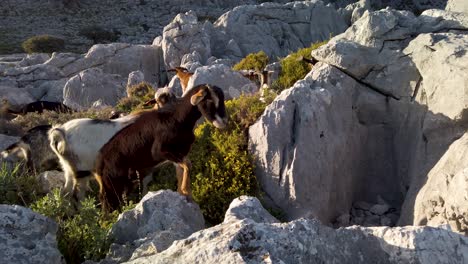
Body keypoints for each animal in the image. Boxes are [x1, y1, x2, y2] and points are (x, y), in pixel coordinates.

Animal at [93, 83, 227, 211]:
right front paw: (184, 190)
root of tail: (99, 162)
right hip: (112, 184)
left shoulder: (180, 152)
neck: (177, 117)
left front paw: (185, 194)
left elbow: (182, 169)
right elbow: (187, 165)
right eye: (209, 100)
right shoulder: (160, 151)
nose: (223, 122)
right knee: (107, 203)